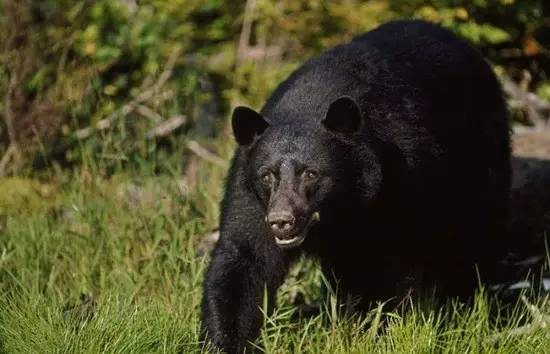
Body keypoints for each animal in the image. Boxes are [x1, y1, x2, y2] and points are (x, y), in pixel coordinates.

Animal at [202, 20, 512, 354]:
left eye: (311, 173)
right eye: (267, 175)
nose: (281, 221)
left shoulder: (400, 178)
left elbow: (395, 261)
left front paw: (383, 330)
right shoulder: (250, 194)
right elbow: (245, 259)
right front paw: (224, 342)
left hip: (479, 155)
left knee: (474, 232)